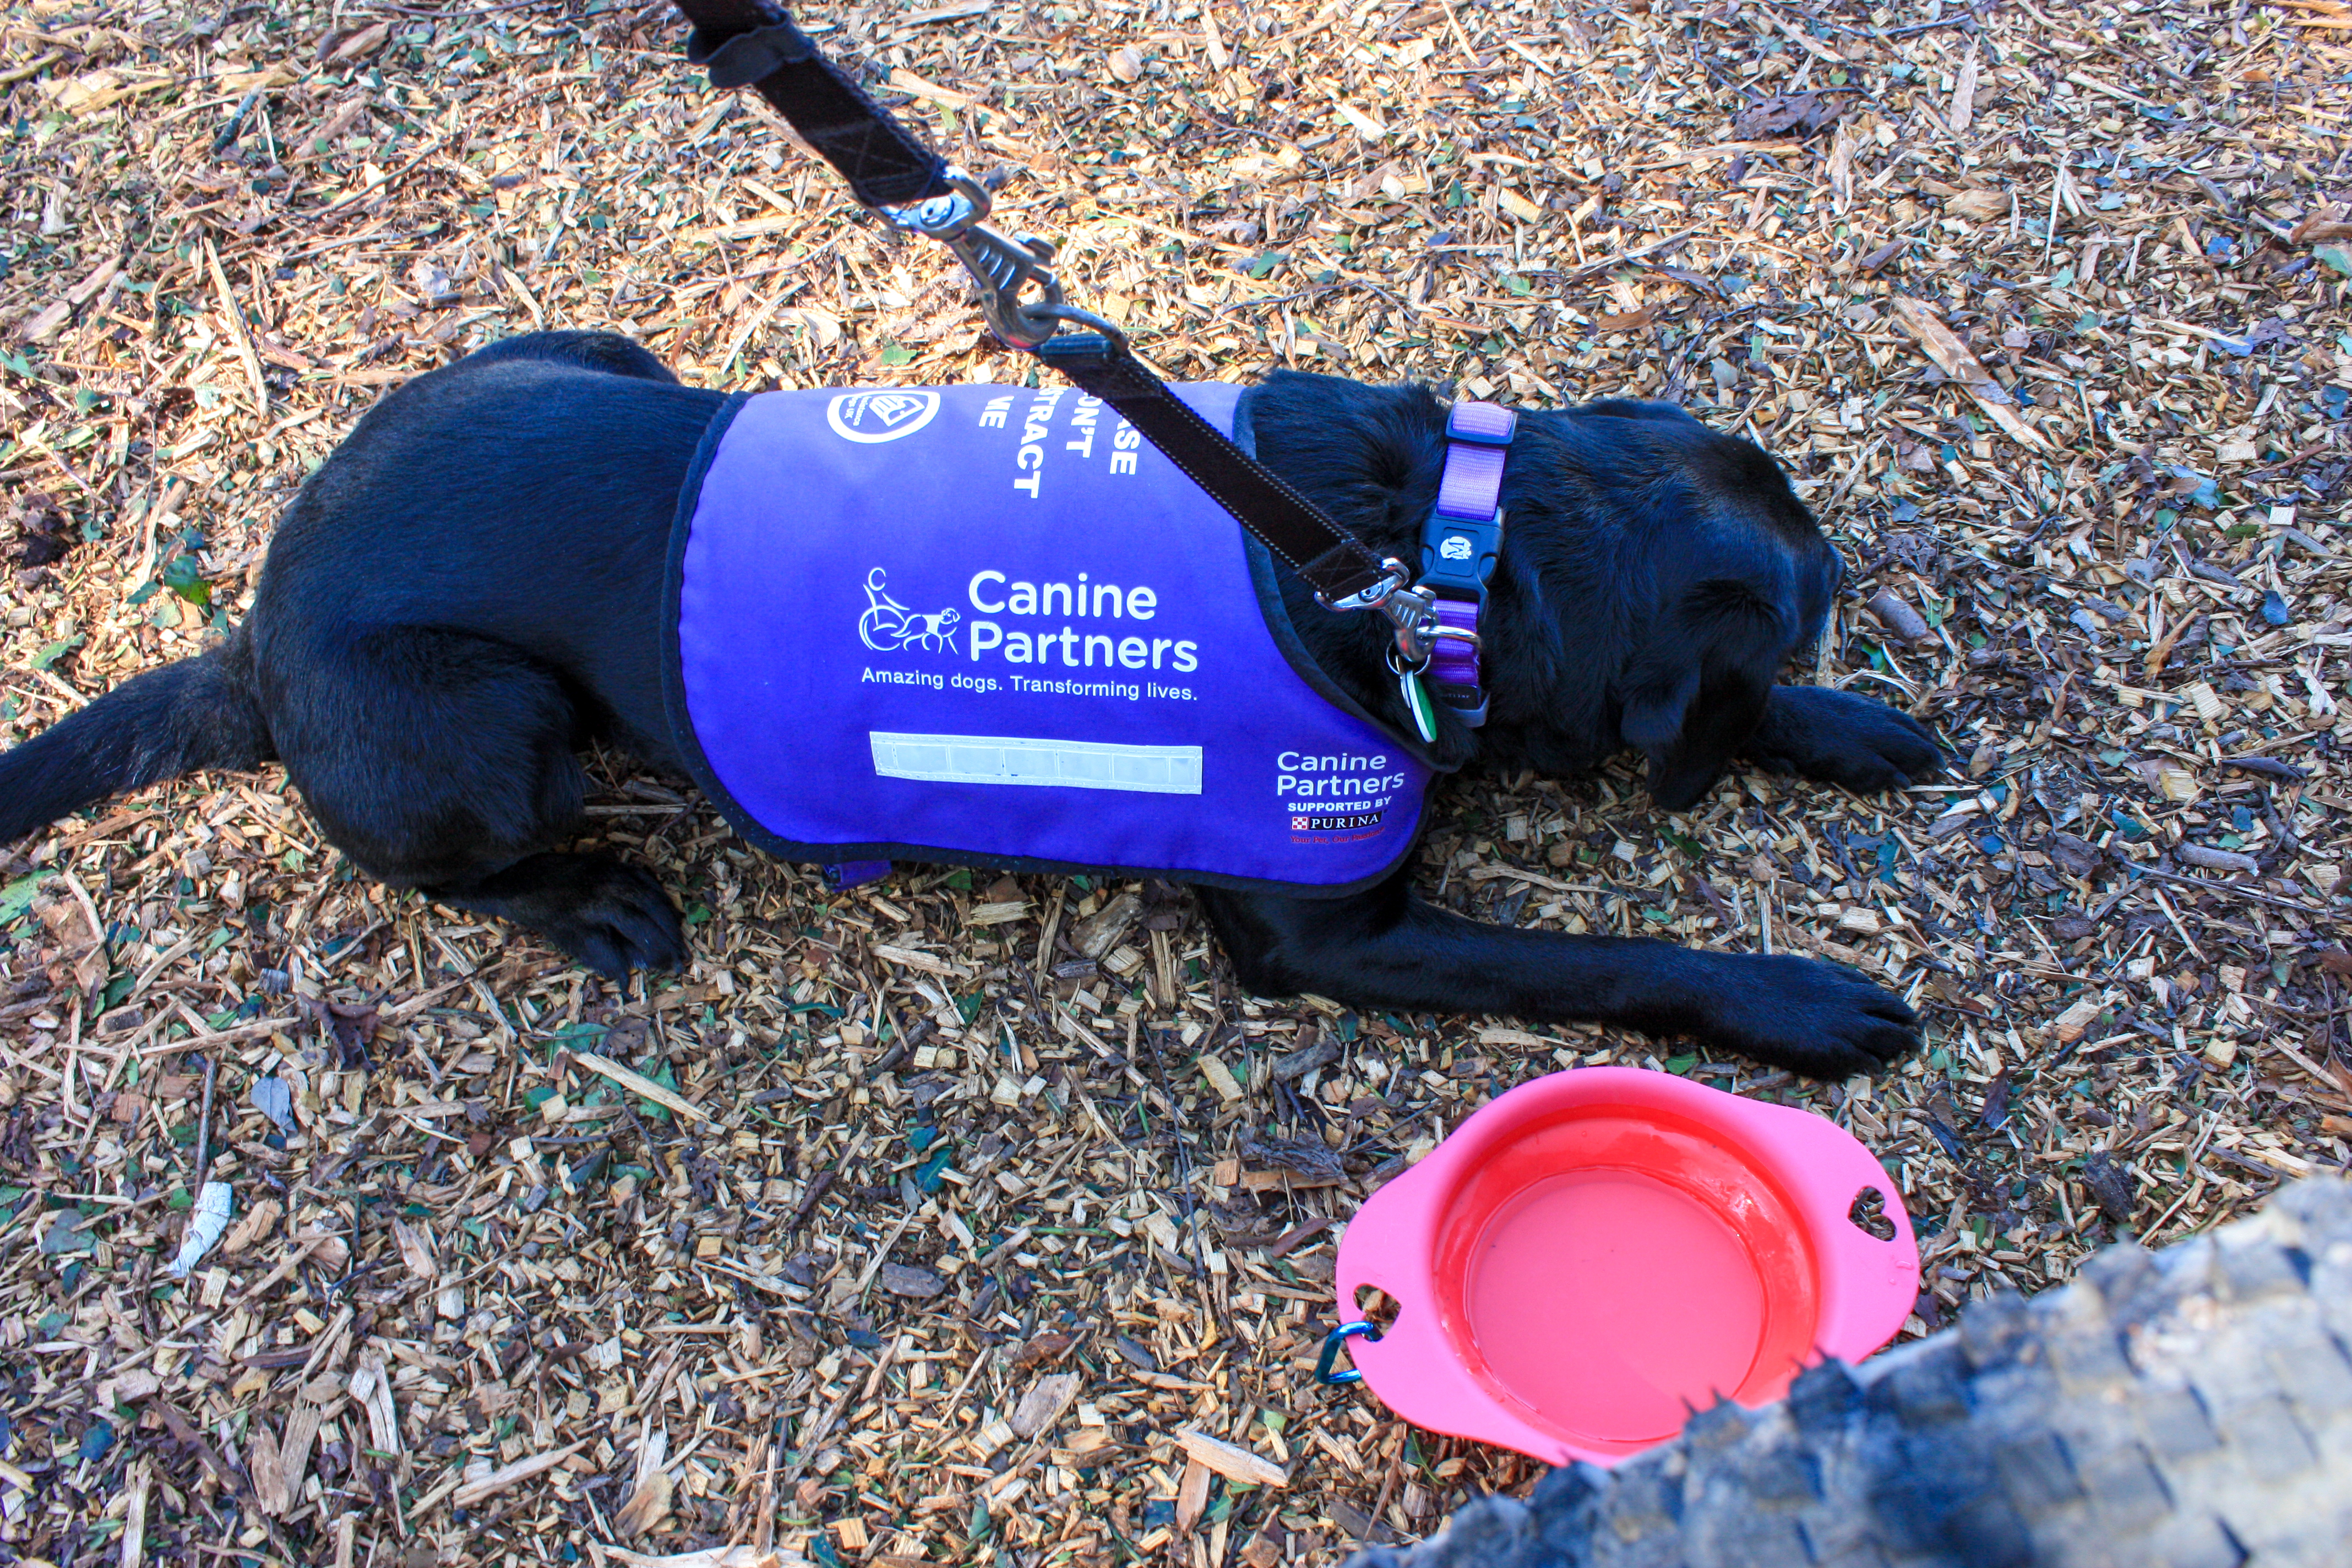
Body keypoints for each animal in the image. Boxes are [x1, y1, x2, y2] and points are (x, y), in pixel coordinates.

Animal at [0, 331, 1938, 1081]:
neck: (1433, 560)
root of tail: (256, 632)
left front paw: (1849, 730)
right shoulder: (1331, 931)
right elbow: (1606, 956)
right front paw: (1791, 1002)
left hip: (596, 351)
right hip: (483, 729)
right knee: (466, 867)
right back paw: (595, 902)